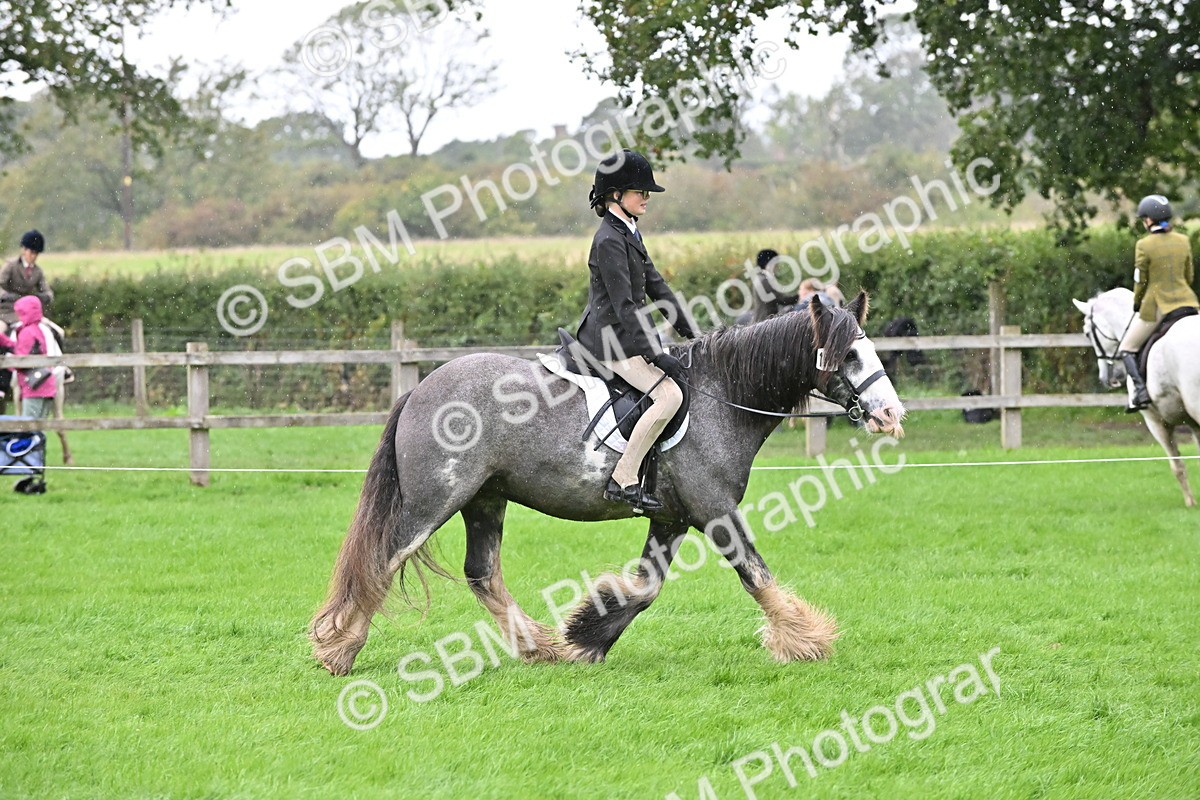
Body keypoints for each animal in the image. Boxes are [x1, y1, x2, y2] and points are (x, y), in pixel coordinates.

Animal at [310, 291, 906, 675]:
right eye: (850, 354)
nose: (890, 415)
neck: (722, 395)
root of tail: (421, 388)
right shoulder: (714, 510)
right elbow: (755, 573)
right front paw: (808, 640)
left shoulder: (672, 517)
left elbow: (646, 587)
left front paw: (586, 638)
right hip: (434, 501)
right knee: (381, 563)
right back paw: (338, 650)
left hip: (485, 499)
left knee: (481, 572)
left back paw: (538, 647)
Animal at [1073, 288, 1200, 506]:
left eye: (1087, 333)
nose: (1106, 378)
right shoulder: (1192, 422)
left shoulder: (1155, 421)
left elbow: (1177, 466)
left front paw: (1190, 503)